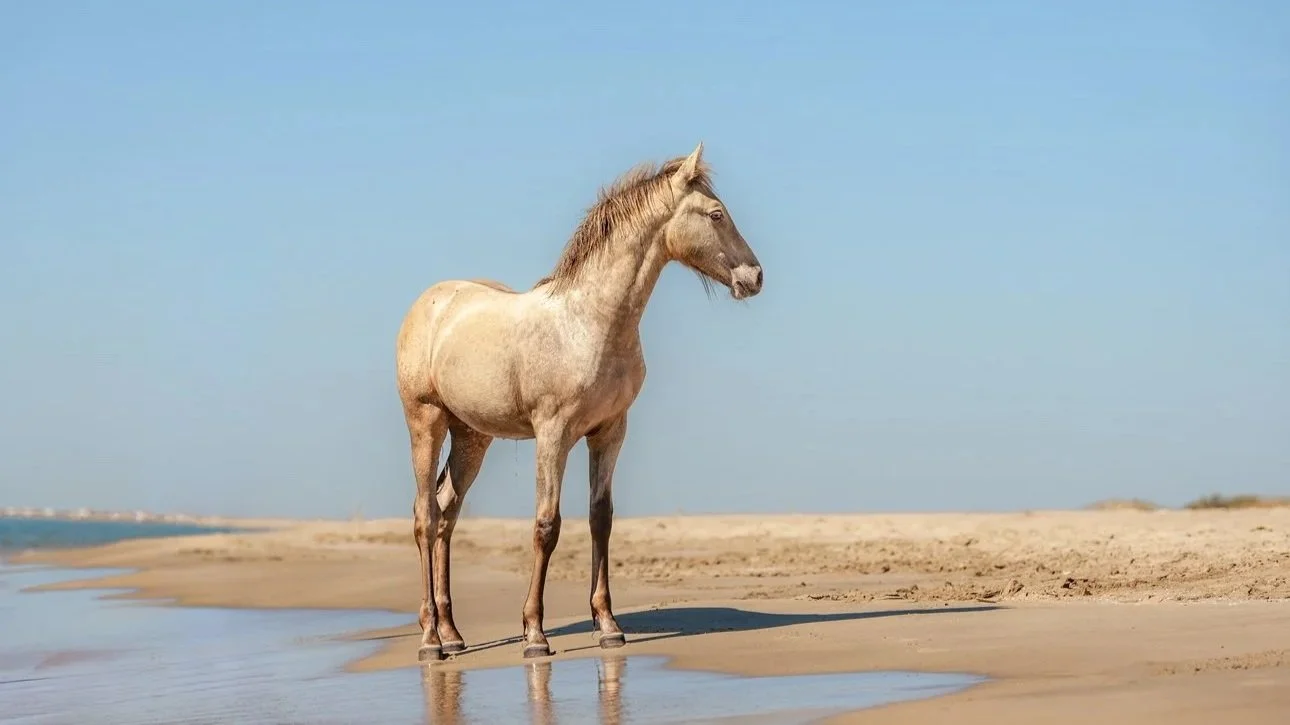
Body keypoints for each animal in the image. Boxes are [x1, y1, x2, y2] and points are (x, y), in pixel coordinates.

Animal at [394, 143, 764, 661]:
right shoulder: (552, 435)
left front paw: (607, 625)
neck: (589, 323)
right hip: (425, 422)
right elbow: (546, 525)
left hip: (472, 438)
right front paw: (534, 633)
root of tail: (430, 303)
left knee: (448, 513)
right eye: (716, 214)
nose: (755, 276)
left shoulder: (609, 432)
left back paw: (453, 632)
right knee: (426, 518)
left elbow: (600, 518)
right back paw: (431, 640)